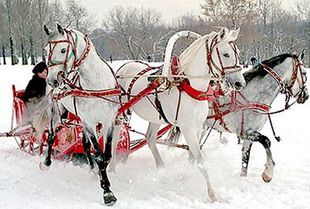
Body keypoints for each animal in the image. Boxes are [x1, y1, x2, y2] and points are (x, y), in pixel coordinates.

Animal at [40, 23, 120, 205]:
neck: (95, 85)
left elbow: (106, 155)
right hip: (57, 113)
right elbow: (99, 155)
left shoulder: (108, 121)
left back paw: (92, 169)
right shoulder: (89, 122)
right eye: (45, 50)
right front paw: (107, 191)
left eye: (63, 49)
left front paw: (102, 179)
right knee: (51, 136)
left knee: (84, 144)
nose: (52, 80)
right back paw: (46, 162)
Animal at [115, 27, 246, 201]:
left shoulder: (198, 127)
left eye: (237, 52)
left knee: (150, 139)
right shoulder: (187, 128)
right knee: (115, 136)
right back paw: (111, 168)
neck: (190, 86)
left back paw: (161, 168)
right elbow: (201, 160)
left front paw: (185, 176)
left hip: (155, 117)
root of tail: (122, 68)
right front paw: (212, 194)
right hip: (122, 112)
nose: (240, 83)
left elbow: (192, 157)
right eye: (225, 54)